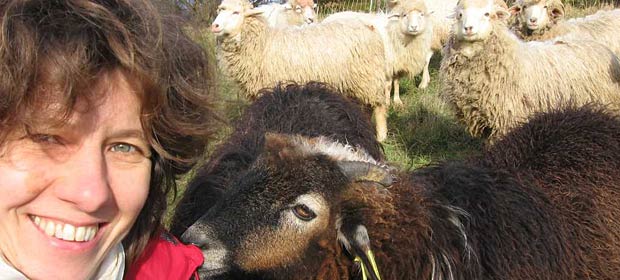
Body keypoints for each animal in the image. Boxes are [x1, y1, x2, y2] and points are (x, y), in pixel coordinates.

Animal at [211, 0, 390, 141]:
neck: (262, 42)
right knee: (367, 106)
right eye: (220, 10)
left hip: (369, 76)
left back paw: (381, 136)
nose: (215, 26)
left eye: (236, 12)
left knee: (379, 107)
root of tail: (370, 26)